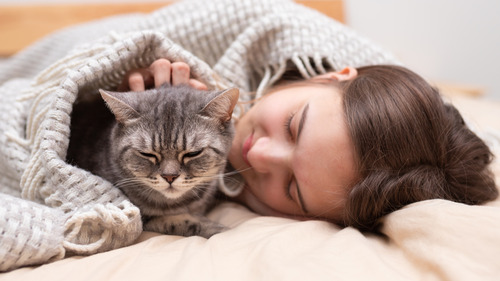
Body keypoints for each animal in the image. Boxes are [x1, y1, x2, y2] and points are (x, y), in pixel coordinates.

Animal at [67, 83, 239, 236]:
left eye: (193, 153)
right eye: (147, 154)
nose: (169, 177)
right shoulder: (142, 217)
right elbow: (180, 221)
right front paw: (219, 229)